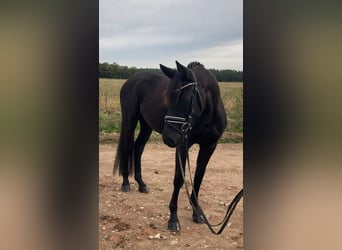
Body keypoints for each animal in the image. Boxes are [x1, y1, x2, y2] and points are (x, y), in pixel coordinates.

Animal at [114, 61, 227, 232]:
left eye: (184, 98)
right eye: (168, 98)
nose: (169, 138)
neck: (209, 114)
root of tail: (130, 81)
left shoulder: (209, 146)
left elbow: (198, 178)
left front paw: (197, 213)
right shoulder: (182, 146)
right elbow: (179, 179)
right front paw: (173, 219)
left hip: (146, 125)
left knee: (138, 148)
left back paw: (141, 184)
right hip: (130, 121)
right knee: (127, 148)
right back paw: (126, 183)